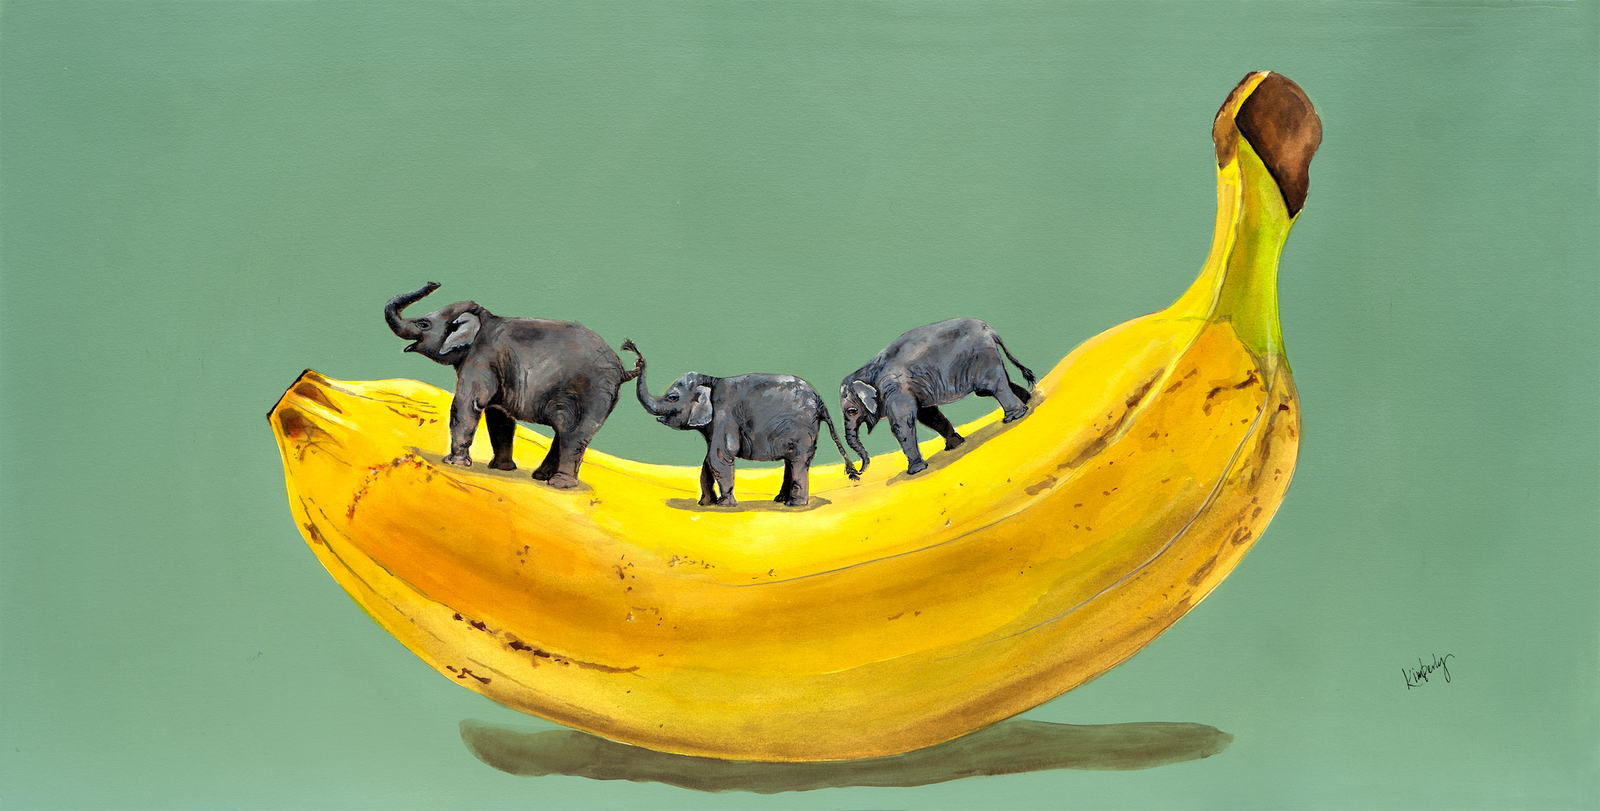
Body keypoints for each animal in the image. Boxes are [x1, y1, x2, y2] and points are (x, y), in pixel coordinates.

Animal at [384, 282, 640, 489]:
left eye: (423, 324)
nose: (433, 282)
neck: (484, 318)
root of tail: (622, 368)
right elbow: (498, 416)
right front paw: (501, 469)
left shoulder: (481, 358)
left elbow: (467, 404)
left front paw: (455, 464)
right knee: (565, 432)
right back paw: (541, 476)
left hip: (592, 393)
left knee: (573, 435)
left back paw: (558, 485)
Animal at [623, 341, 859, 507]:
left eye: (672, 398)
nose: (637, 359)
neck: (710, 379)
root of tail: (820, 401)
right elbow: (707, 461)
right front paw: (705, 504)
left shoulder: (724, 415)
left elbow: (719, 455)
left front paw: (725, 505)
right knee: (791, 461)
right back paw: (780, 500)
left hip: (801, 429)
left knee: (798, 461)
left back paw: (794, 505)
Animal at [840, 318, 1037, 476]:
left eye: (851, 411)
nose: (855, 472)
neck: (864, 371)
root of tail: (989, 330)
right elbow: (929, 416)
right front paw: (954, 446)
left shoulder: (895, 390)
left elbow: (901, 424)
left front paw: (915, 471)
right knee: (991, 387)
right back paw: (1027, 400)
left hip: (982, 359)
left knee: (993, 386)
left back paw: (1013, 417)